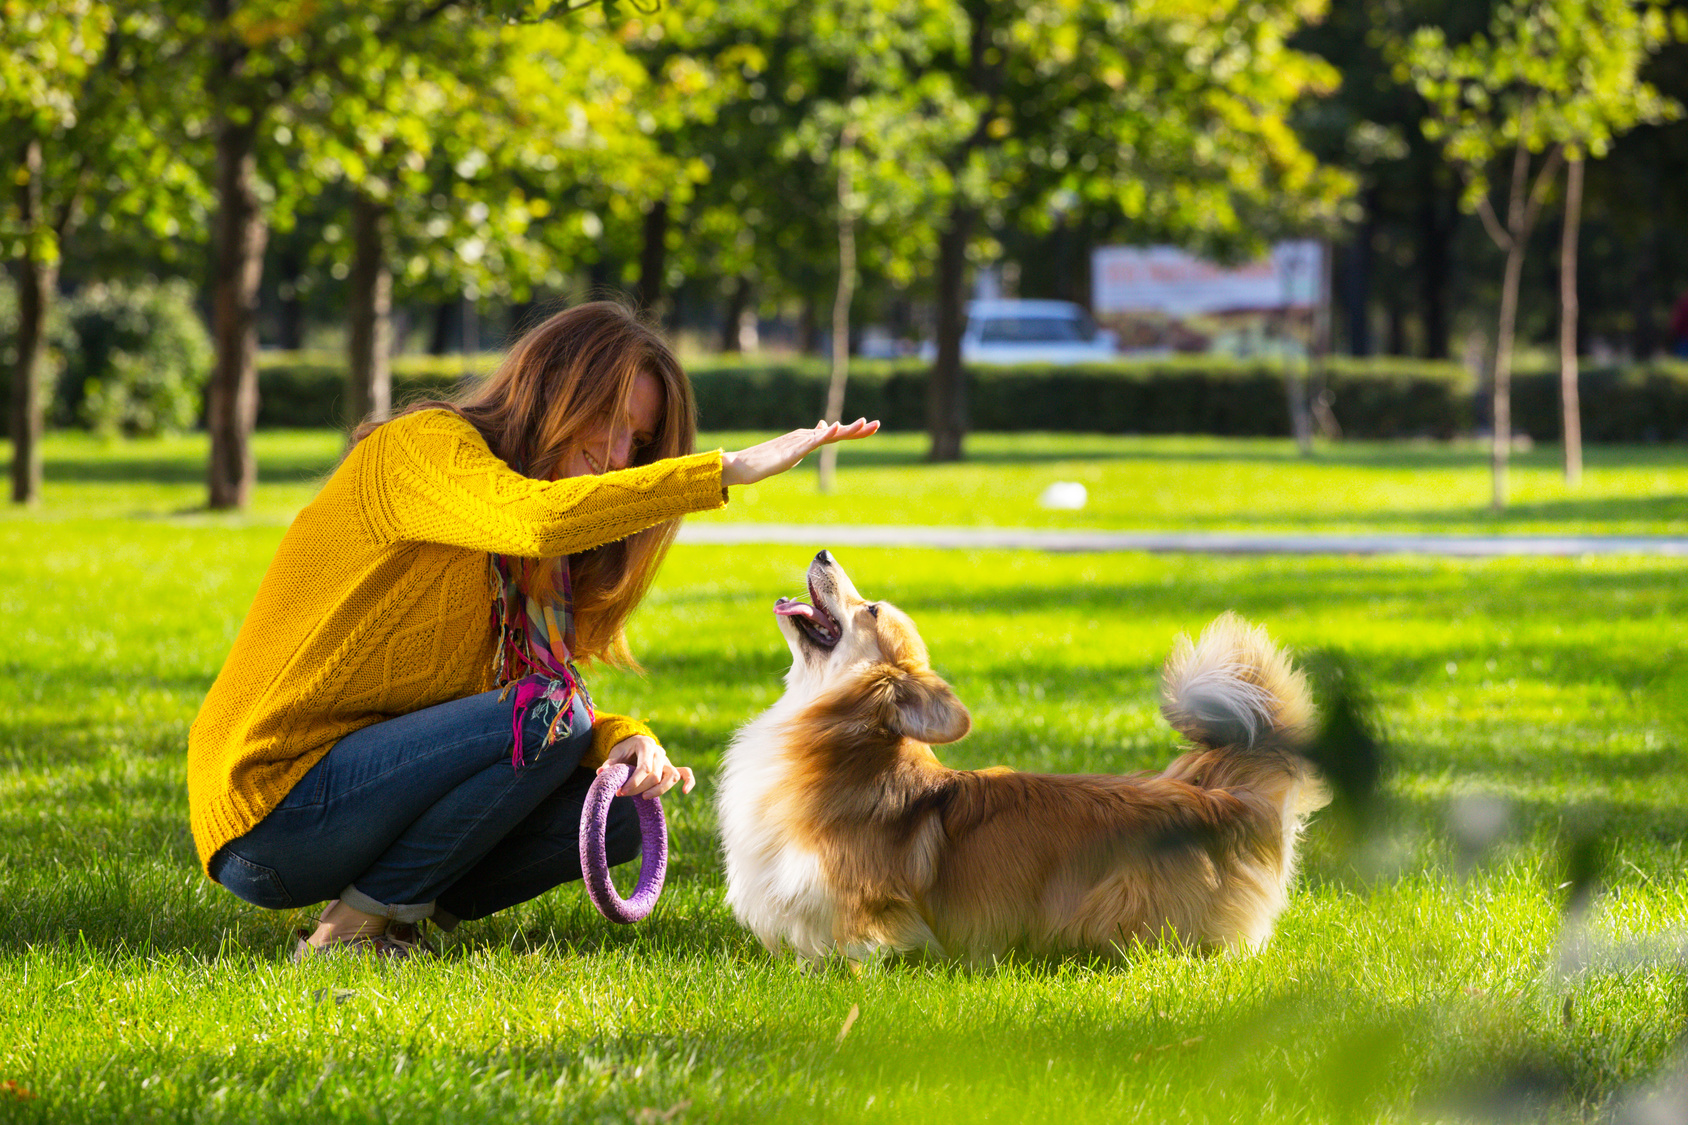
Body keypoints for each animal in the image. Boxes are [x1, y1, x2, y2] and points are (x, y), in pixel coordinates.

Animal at [712, 547, 1330, 959]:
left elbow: (866, 951)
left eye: (871, 611)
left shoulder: (870, 908)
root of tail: (1223, 799)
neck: (835, 736)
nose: (822, 551)